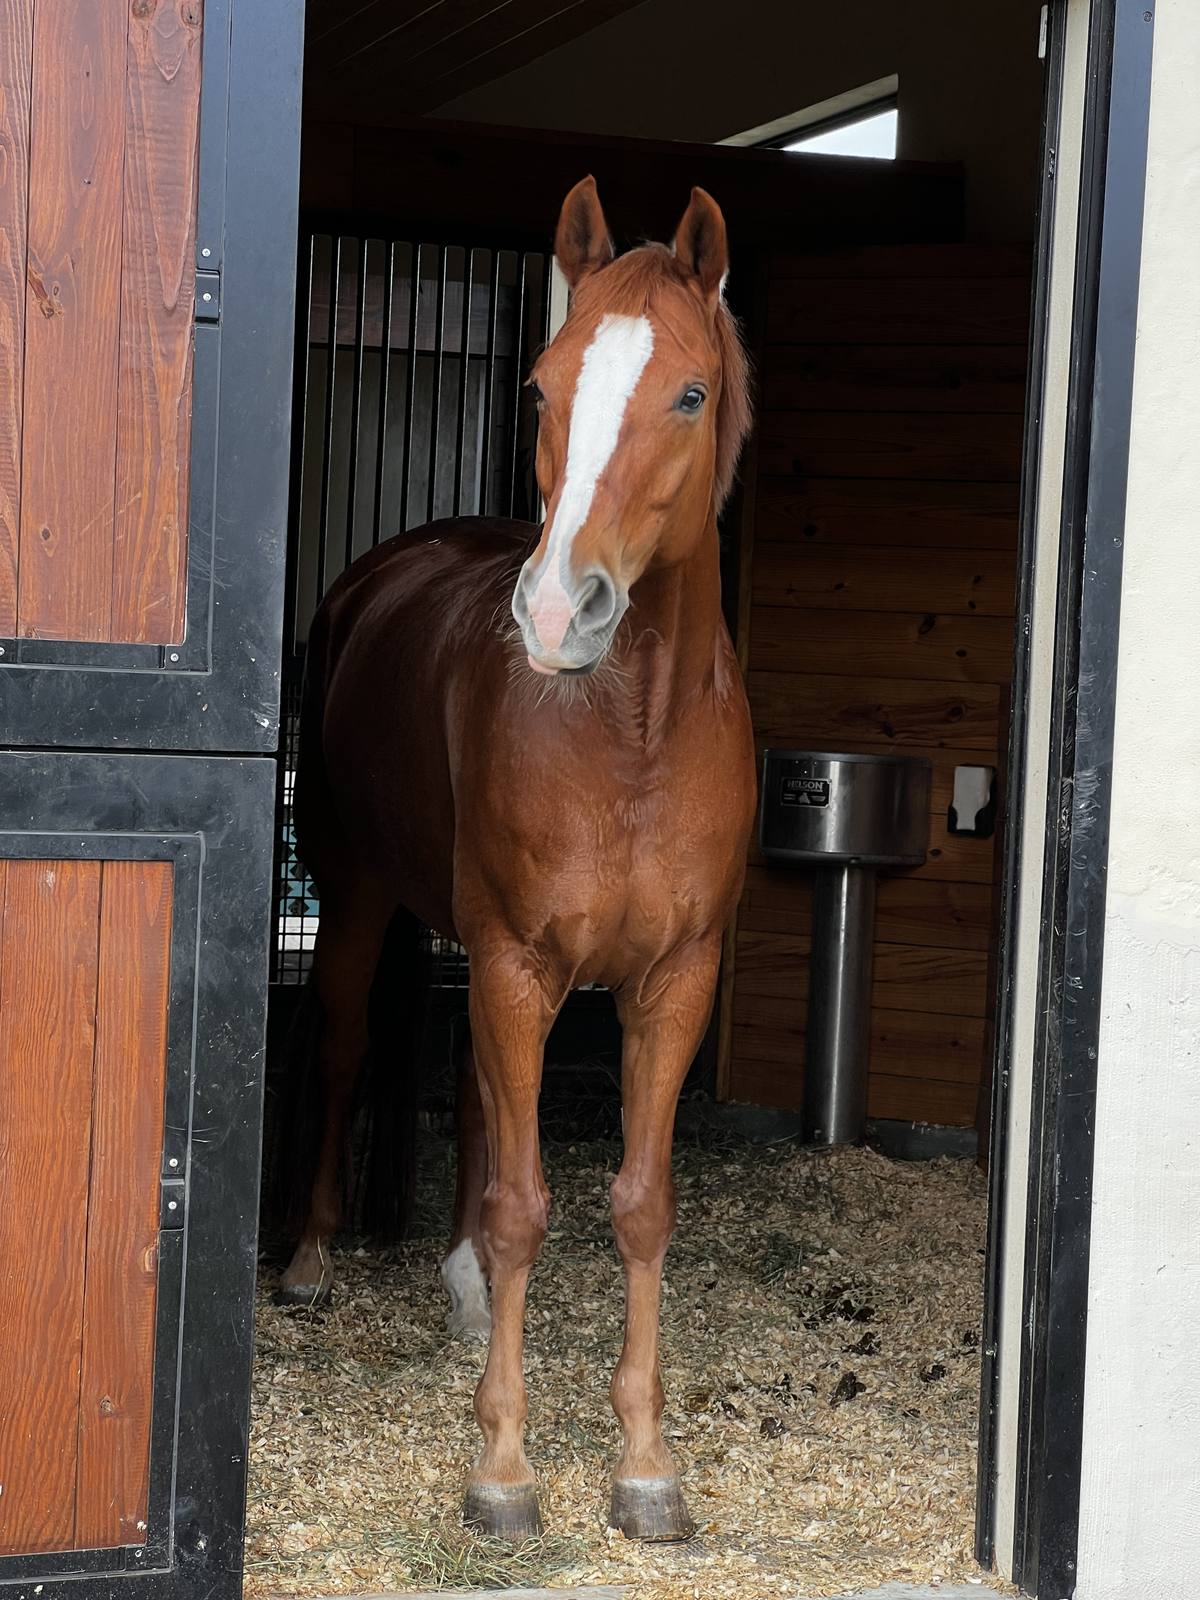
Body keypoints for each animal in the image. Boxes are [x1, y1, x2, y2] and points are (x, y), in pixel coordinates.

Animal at [279, 176, 757, 1544]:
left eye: (689, 394)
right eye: (543, 389)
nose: (556, 611)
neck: (633, 731)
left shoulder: (674, 981)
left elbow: (638, 1206)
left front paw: (645, 1463)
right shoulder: (513, 960)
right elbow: (523, 1206)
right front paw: (500, 1464)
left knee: (484, 1101)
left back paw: (459, 1285)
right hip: (363, 899)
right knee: (346, 1050)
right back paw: (313, 1258)